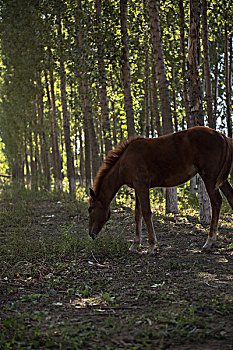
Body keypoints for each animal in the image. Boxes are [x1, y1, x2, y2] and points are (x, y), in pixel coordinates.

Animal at [88, 127, 233, 253]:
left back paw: (209, 242)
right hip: (220, 180)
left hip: (210, 178)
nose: (90, 234)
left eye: (90, 209)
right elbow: (137, 214)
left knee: (216, 202)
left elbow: (146, 212)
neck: (125, 161)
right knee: (230, 197)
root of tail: (221, 135)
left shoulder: (142, 185)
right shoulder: (137, 187)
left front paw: (151, 245)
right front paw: (135, 244)